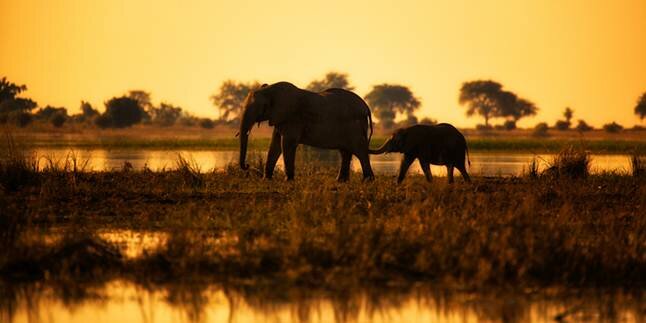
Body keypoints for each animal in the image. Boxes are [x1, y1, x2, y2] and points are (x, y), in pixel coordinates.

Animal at [240, 81, 378, 182]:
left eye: (260, 107)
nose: (247, 166)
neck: (271, 89)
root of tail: (366, 106)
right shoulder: (280, 118)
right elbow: (275, 145)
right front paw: (266, 180)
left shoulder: (292, 118)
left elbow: (287, 144)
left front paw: (288, 181)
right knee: (345, 151)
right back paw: (340, 181)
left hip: (355, 126)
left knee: (359, 150)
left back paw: (367, 181)